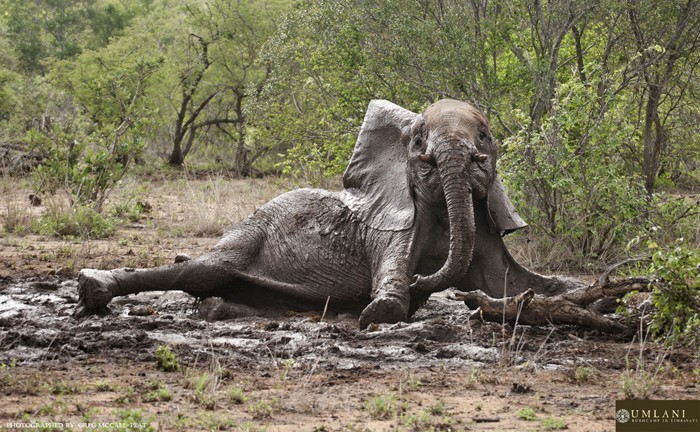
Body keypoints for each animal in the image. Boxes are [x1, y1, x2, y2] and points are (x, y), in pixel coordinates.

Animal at [74, 99, 584, 330]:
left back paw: (218, 309)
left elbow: (516, 285)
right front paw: (378, 308)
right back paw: (93, 287)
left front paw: (590, 296)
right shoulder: (392, 229)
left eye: (485, 139)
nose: (425, 280)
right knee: (202, 271)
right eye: (420, 145)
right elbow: (390, 294)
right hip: (247, 232)